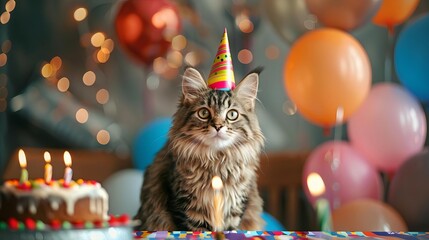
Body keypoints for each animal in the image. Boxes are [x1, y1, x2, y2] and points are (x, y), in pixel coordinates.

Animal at [134, 66, 264, 231]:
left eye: (232, 114)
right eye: (203, 113)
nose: (218, 126)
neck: (217, 161)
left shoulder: (236, 206)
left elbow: (230, 230)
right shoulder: (185, 206)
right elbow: (198, 230)